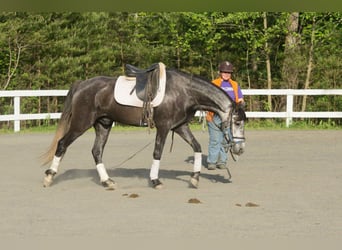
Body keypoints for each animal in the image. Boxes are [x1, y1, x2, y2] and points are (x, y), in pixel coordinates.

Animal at [42, 62, 246, 189]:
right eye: (236, 122)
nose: (240, 149)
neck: (184, 91)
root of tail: (82, 84)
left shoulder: (180, 126)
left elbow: (196, 147)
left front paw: (194, 179)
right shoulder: (164, 127)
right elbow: (157, 153)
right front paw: (155, 181)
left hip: (103, 125)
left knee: (97, 151)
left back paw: (107, 181)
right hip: (80, 123)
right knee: (62, 144)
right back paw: (49, 176)